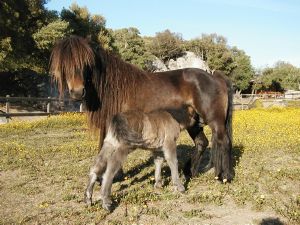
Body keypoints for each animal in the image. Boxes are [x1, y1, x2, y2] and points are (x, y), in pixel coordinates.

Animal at [50, 36, 234, 182]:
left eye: (86, 63)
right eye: (64, 65)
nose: (77, 92)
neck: (116, 87)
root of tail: (215, 77)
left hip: (215, 121)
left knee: (223, 141)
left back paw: (224, 177)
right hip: (194, 122)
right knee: (202, 143)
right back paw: (189, 173)